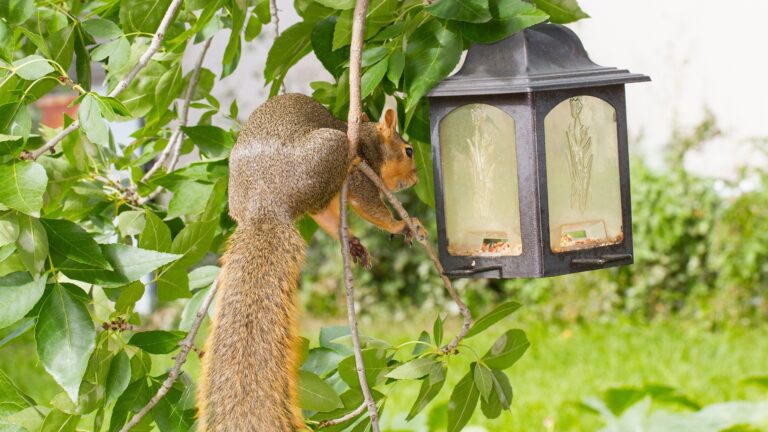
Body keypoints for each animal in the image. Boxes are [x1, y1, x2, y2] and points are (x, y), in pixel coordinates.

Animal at [197, 93, 425, 431]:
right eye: (408, 150)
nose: (416, 179)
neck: (366, 136)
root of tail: (265, 204)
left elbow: (331, 216)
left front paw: (354, 241)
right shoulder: (361, 176)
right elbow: (369, 204)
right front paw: (400, 225)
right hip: (330, 150)